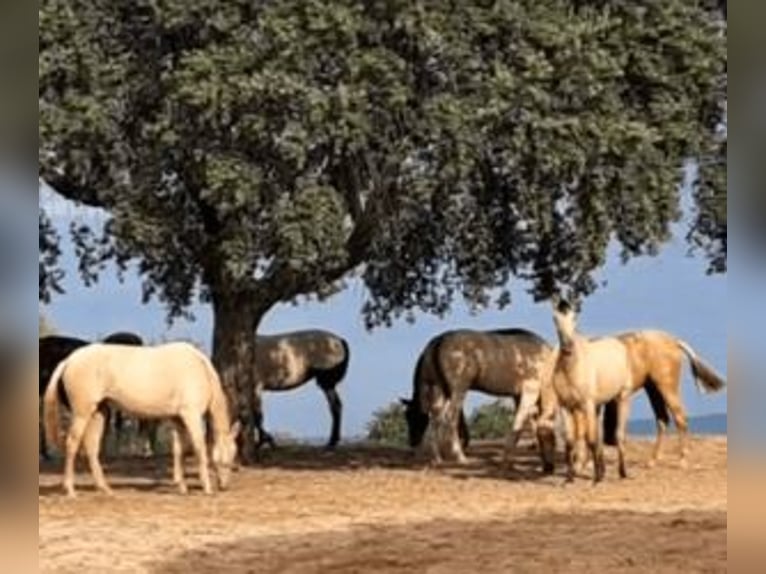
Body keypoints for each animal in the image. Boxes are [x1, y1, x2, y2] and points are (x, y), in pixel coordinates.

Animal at [43, 341, 239, 496]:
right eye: (225, 461)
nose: (224, 486)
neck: (201, 369)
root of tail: (70, 360)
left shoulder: (177, 419)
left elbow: (178, 451)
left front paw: (181, 486)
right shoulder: (191, 415)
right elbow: (199, 448)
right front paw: (206, 487)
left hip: (99, 412)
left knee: (91, 447)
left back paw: (105, 488)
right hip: (82, 413)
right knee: (72, 443)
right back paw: (70, 490)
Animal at [400, 328, 558, 473]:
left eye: (414, 418)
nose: (412, 443)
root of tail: (437, 342)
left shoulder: (519, 395)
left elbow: (527, 424)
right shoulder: (529, 391)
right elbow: (520, 424)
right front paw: (507, 462)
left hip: (440, 391)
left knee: (436, 420)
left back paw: (436, 458)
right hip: (458, 389)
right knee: (450, 418)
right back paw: (460, 457)